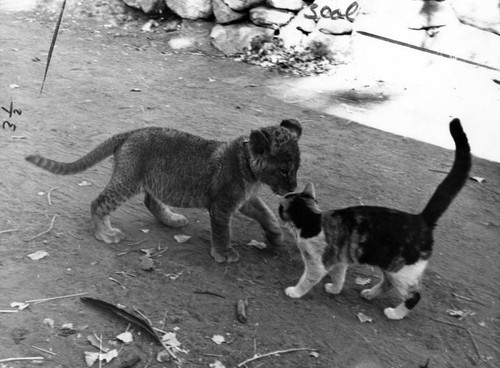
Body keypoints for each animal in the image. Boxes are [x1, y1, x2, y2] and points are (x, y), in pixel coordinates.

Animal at [280, 118, 470, 320]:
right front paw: (334, 289)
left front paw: (295, 291)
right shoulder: (340, 261)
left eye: (280, 209)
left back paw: (394, 313)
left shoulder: (318, 265)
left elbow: (307, 280)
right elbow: (339, 278)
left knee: (414, 296)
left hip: (401, 272)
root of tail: (422, 219)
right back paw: (370, 294)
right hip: (390, 266)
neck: (312, 221)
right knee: (387, 283)